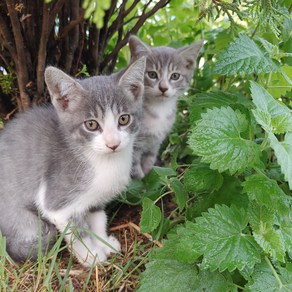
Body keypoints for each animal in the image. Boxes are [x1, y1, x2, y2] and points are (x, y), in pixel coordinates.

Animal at [0, 57, 146, 266]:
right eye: (91, 124)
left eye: (124, 119)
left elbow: (98, 219)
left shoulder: (96, 201)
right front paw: (91, 255)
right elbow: (77, 232)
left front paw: (103, 242)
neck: (104, 162)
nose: (113, 144)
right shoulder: (57, 205)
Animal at [128, 35, 203, 179]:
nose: (163, 88)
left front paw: (151, 177)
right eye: (152, 74)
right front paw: (141, 180)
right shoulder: (132, 144)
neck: (159, 109)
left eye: (175, 76)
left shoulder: (155, 143)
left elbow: (149, 162)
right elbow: (134, 168)